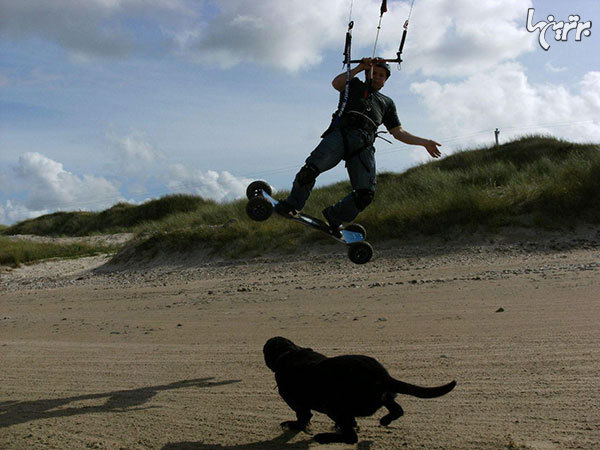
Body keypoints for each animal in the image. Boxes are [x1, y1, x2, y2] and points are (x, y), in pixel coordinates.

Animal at [262, 336, 454, 444]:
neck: (289, 352)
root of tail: (383, 376)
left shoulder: (295, 401)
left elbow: (303, 416)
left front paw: (294, 425)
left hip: (334, 406)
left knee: (350, 438)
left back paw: (324, 437)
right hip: (383, 397)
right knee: (397, 409)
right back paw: (384, 420)